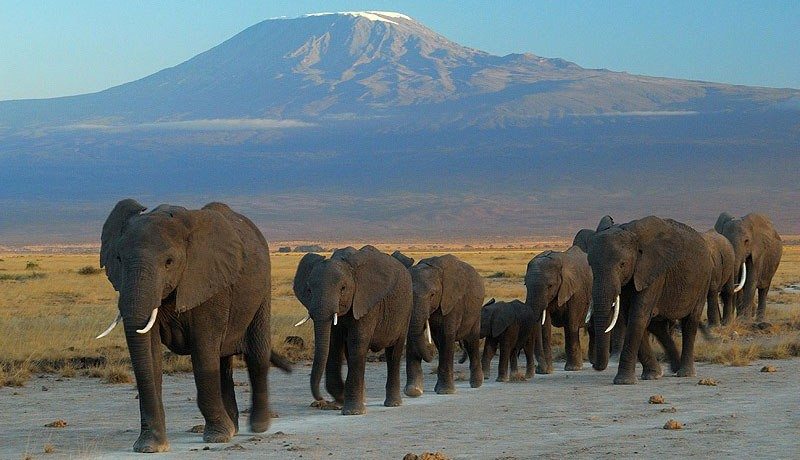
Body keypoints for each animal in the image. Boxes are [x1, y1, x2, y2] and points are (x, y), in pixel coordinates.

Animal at [97, 199, 291, 452]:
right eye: (118, 259)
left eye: (169, 262)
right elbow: (150, 354)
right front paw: (150, 446)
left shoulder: (209, 281)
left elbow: (203, 351)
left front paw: (217, 437)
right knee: (223, 362)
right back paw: (234, 427)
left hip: (262, 290)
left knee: (256, 355)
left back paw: (257, 427)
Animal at [292, 245, 413, 415]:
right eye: (309, 290)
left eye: (343, 288)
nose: (320, 399)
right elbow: (333, 344)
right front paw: (342, 402)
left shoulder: (367, 301)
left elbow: (357, 343)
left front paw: (352, 411)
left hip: (406, 310)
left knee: (394, 353)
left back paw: (393, 403)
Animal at [403, 254, 485, 396]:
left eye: (432, 295)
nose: (430, 352)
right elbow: (412, 336)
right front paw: (413, 391)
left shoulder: (452, 302)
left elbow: (447, 335)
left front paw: (445, 391)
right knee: (440, 344)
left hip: (475, 313)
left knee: (471, 343)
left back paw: (476, 384)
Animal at [587, 215, 713, 384]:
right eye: (590, 265)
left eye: (622, 264)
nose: (594, 364)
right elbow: (631, 317)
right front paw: (652, 375)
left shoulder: (652, 271)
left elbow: (637, 316)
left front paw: (624, 381)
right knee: (657, 326)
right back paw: (672, 368)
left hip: (703, 279)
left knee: (690, 321)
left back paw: (685, 373)